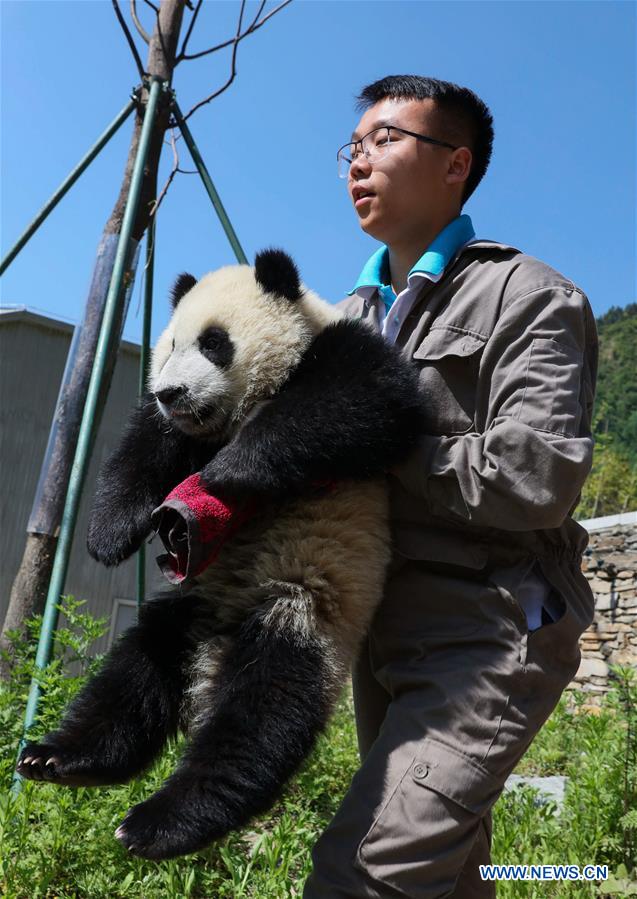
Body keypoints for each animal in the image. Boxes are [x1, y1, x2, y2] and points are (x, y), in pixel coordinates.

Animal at [17, 249, 424, 860]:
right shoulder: (171, 431)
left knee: (263, 712)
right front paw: (108, 533)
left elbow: (364, 401)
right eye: (168, 347)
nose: (172, 392)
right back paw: (62, 758)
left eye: (214, 343)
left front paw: (230, 470)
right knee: (135, 673)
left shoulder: (345, 354)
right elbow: (144, 449)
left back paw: (163, 821)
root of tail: (216, 647)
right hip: (190, 607)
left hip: (299, 605)